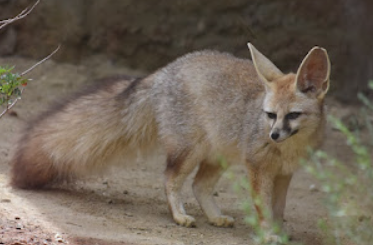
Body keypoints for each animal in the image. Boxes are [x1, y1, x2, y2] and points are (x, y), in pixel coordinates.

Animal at [9, 43, 328, 235]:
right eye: (270, 114)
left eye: (293, 115)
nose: (273, 135)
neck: (288, 150)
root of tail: (165, 70)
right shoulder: (258, 169)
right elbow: (263, 207)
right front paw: (269, 234)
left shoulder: (284, 174)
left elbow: (279, 209)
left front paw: (279, 232)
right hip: (188, 153)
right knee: (170, 179)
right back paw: (179, 216)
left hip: (216, 157)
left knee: (199, 186)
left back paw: (215, 216)